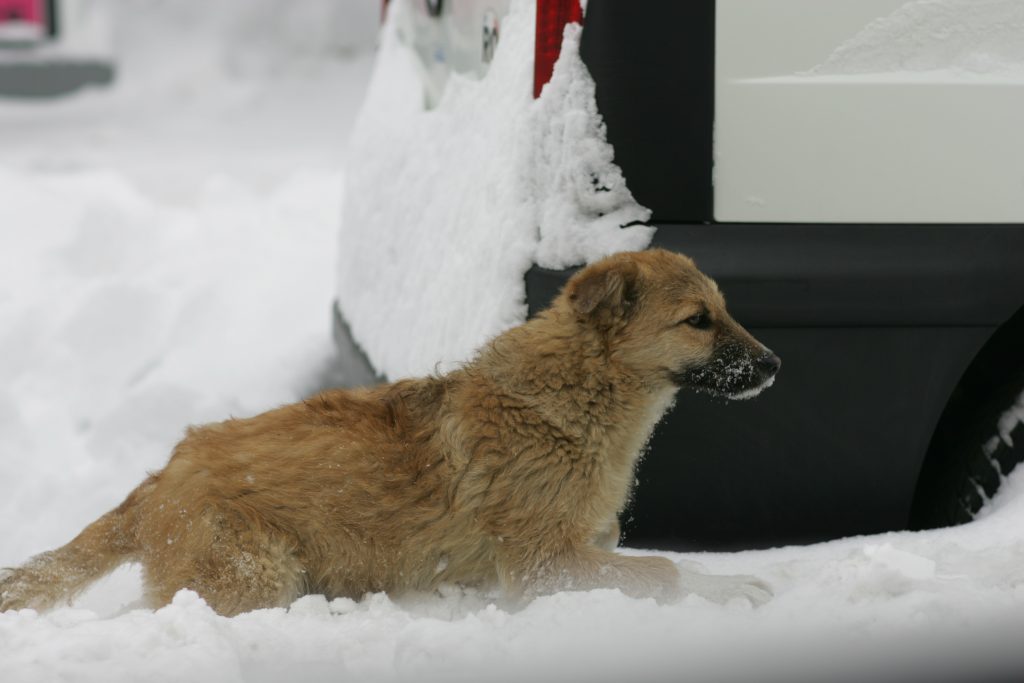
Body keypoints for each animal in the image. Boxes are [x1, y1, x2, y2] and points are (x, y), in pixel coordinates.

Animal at [0, 248, 778, 618]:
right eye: (696, 320)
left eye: (724, 311)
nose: (775, 364)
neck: (572, 399)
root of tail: (159, 479)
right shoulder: (541, 567)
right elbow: (664, 570)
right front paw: (725, 587)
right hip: (255, 574)